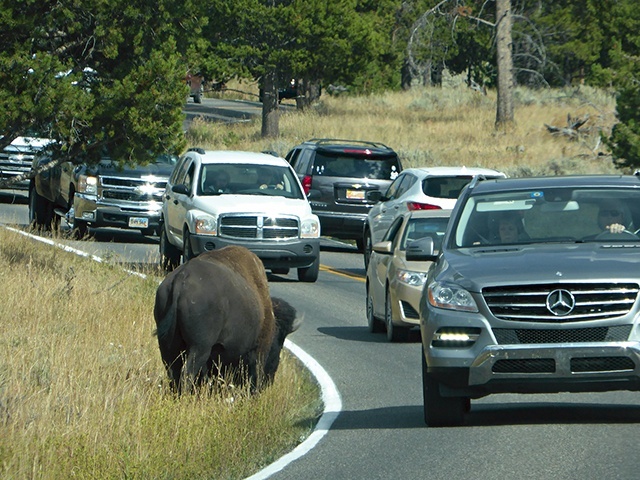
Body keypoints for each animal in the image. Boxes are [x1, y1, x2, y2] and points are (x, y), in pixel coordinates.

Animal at [153, 246, 300, 392]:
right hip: (199, 348)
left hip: (167, 344)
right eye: (280, 342)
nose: (269, 381)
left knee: (173, 371)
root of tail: (182, 277)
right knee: (187, 374)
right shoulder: (259, 351)